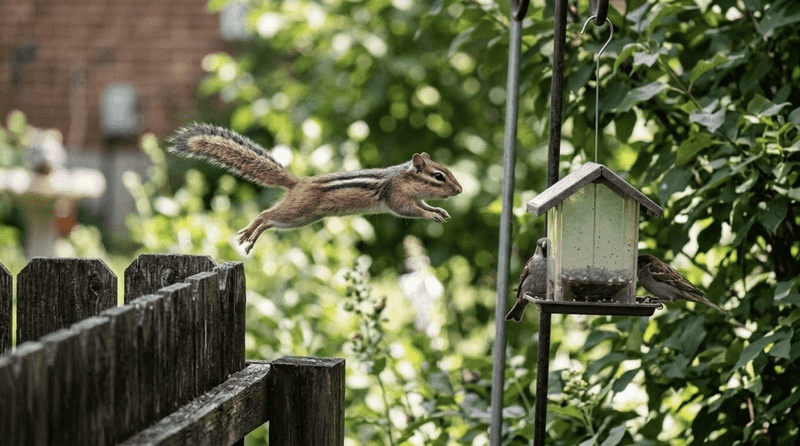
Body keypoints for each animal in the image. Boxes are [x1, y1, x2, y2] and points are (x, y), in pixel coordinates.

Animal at [168, 124, 462, 253]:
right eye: (439, 176)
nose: (459, 190)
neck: (405, 178)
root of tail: (297, 182)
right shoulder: (397, 198)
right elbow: (410, 210)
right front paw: (432, 215)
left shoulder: (413, 197)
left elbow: (423, 205)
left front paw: (439, 211)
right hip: (297, 210)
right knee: (265, 215)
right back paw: (247, 233)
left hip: (299, 219)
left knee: (270, 222)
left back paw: (252, 238)